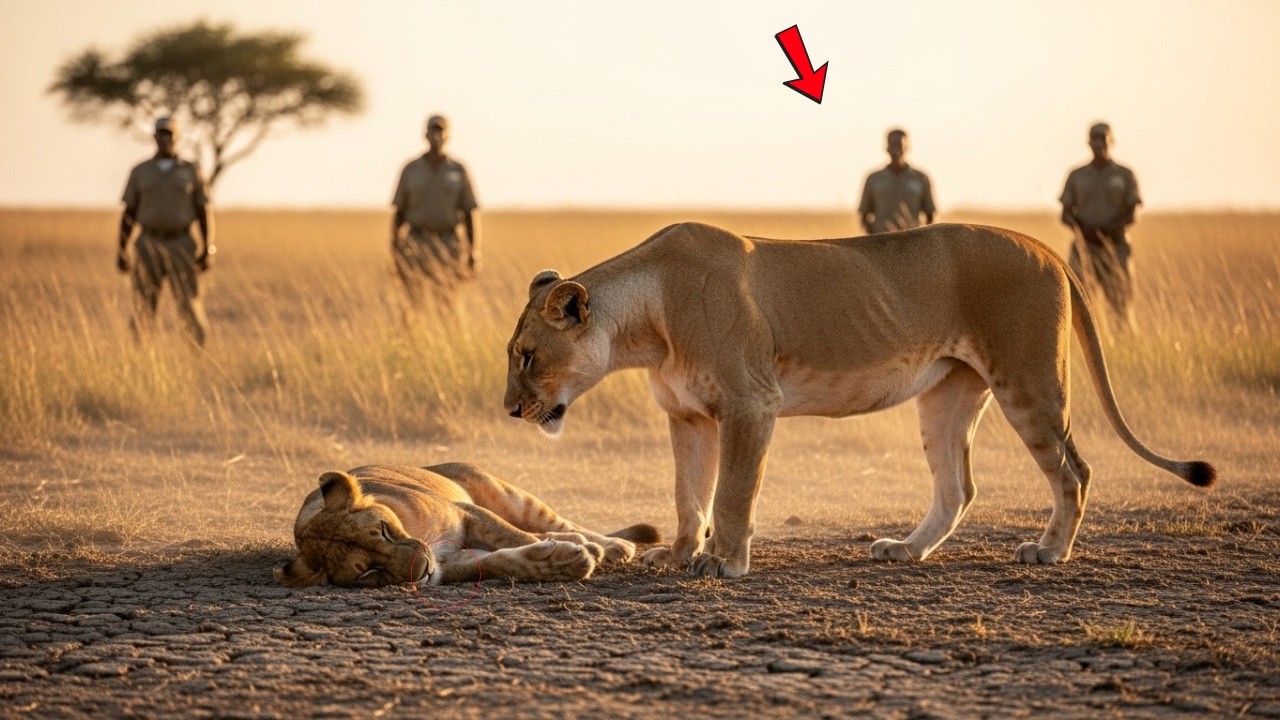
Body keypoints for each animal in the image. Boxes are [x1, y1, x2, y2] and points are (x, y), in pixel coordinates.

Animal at [274, 463, 660, 588]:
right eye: (367, 571)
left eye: (383, 529)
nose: (422, 569)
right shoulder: (452, 561)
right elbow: (499, 562)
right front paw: (558, 562)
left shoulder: (464, 512)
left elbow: (513, 535)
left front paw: (583, 553)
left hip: (509, 495)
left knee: (559, 523)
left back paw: (612, 546)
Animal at [503, 221, 1216, 578]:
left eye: (527, 355)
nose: (509, 411)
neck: (646, 322)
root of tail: (1043, 246)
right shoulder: (688, 415)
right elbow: (688, 496)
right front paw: (676, 555)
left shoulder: (751, 403)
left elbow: (731, 494)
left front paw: (723, 562)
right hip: (948, 393)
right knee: (958, 487)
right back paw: (907, 550)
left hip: (1029, 381)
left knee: (1075, 469)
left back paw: (1049, 552)